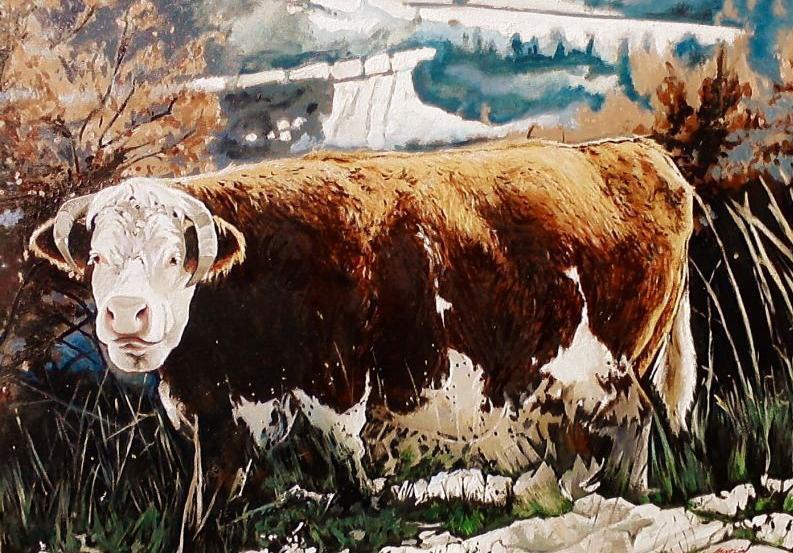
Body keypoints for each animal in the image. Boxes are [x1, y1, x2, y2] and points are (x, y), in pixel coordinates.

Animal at [28, 137, 696, 494]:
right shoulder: (220, 411)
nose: (127, 316)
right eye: (96, 258)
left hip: (611, 367)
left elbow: (347, 463)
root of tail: (632, 151)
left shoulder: (336, 383)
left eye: (175, 257)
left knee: (631, 426)